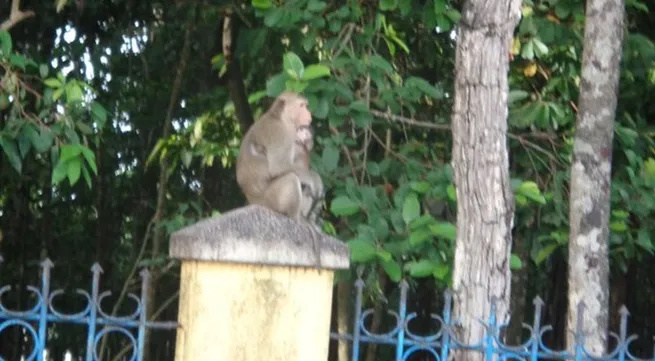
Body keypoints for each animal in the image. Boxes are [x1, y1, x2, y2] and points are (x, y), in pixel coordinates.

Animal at [238, 92, 326, 222]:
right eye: (302, 106)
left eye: (305, 106)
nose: (309, 113)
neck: (281, 119)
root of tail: (253, 201)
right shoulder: (279, 132)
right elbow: (279, 167)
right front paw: (314, 179)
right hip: (270, 200)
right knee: (291, 179)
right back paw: (296, 217)